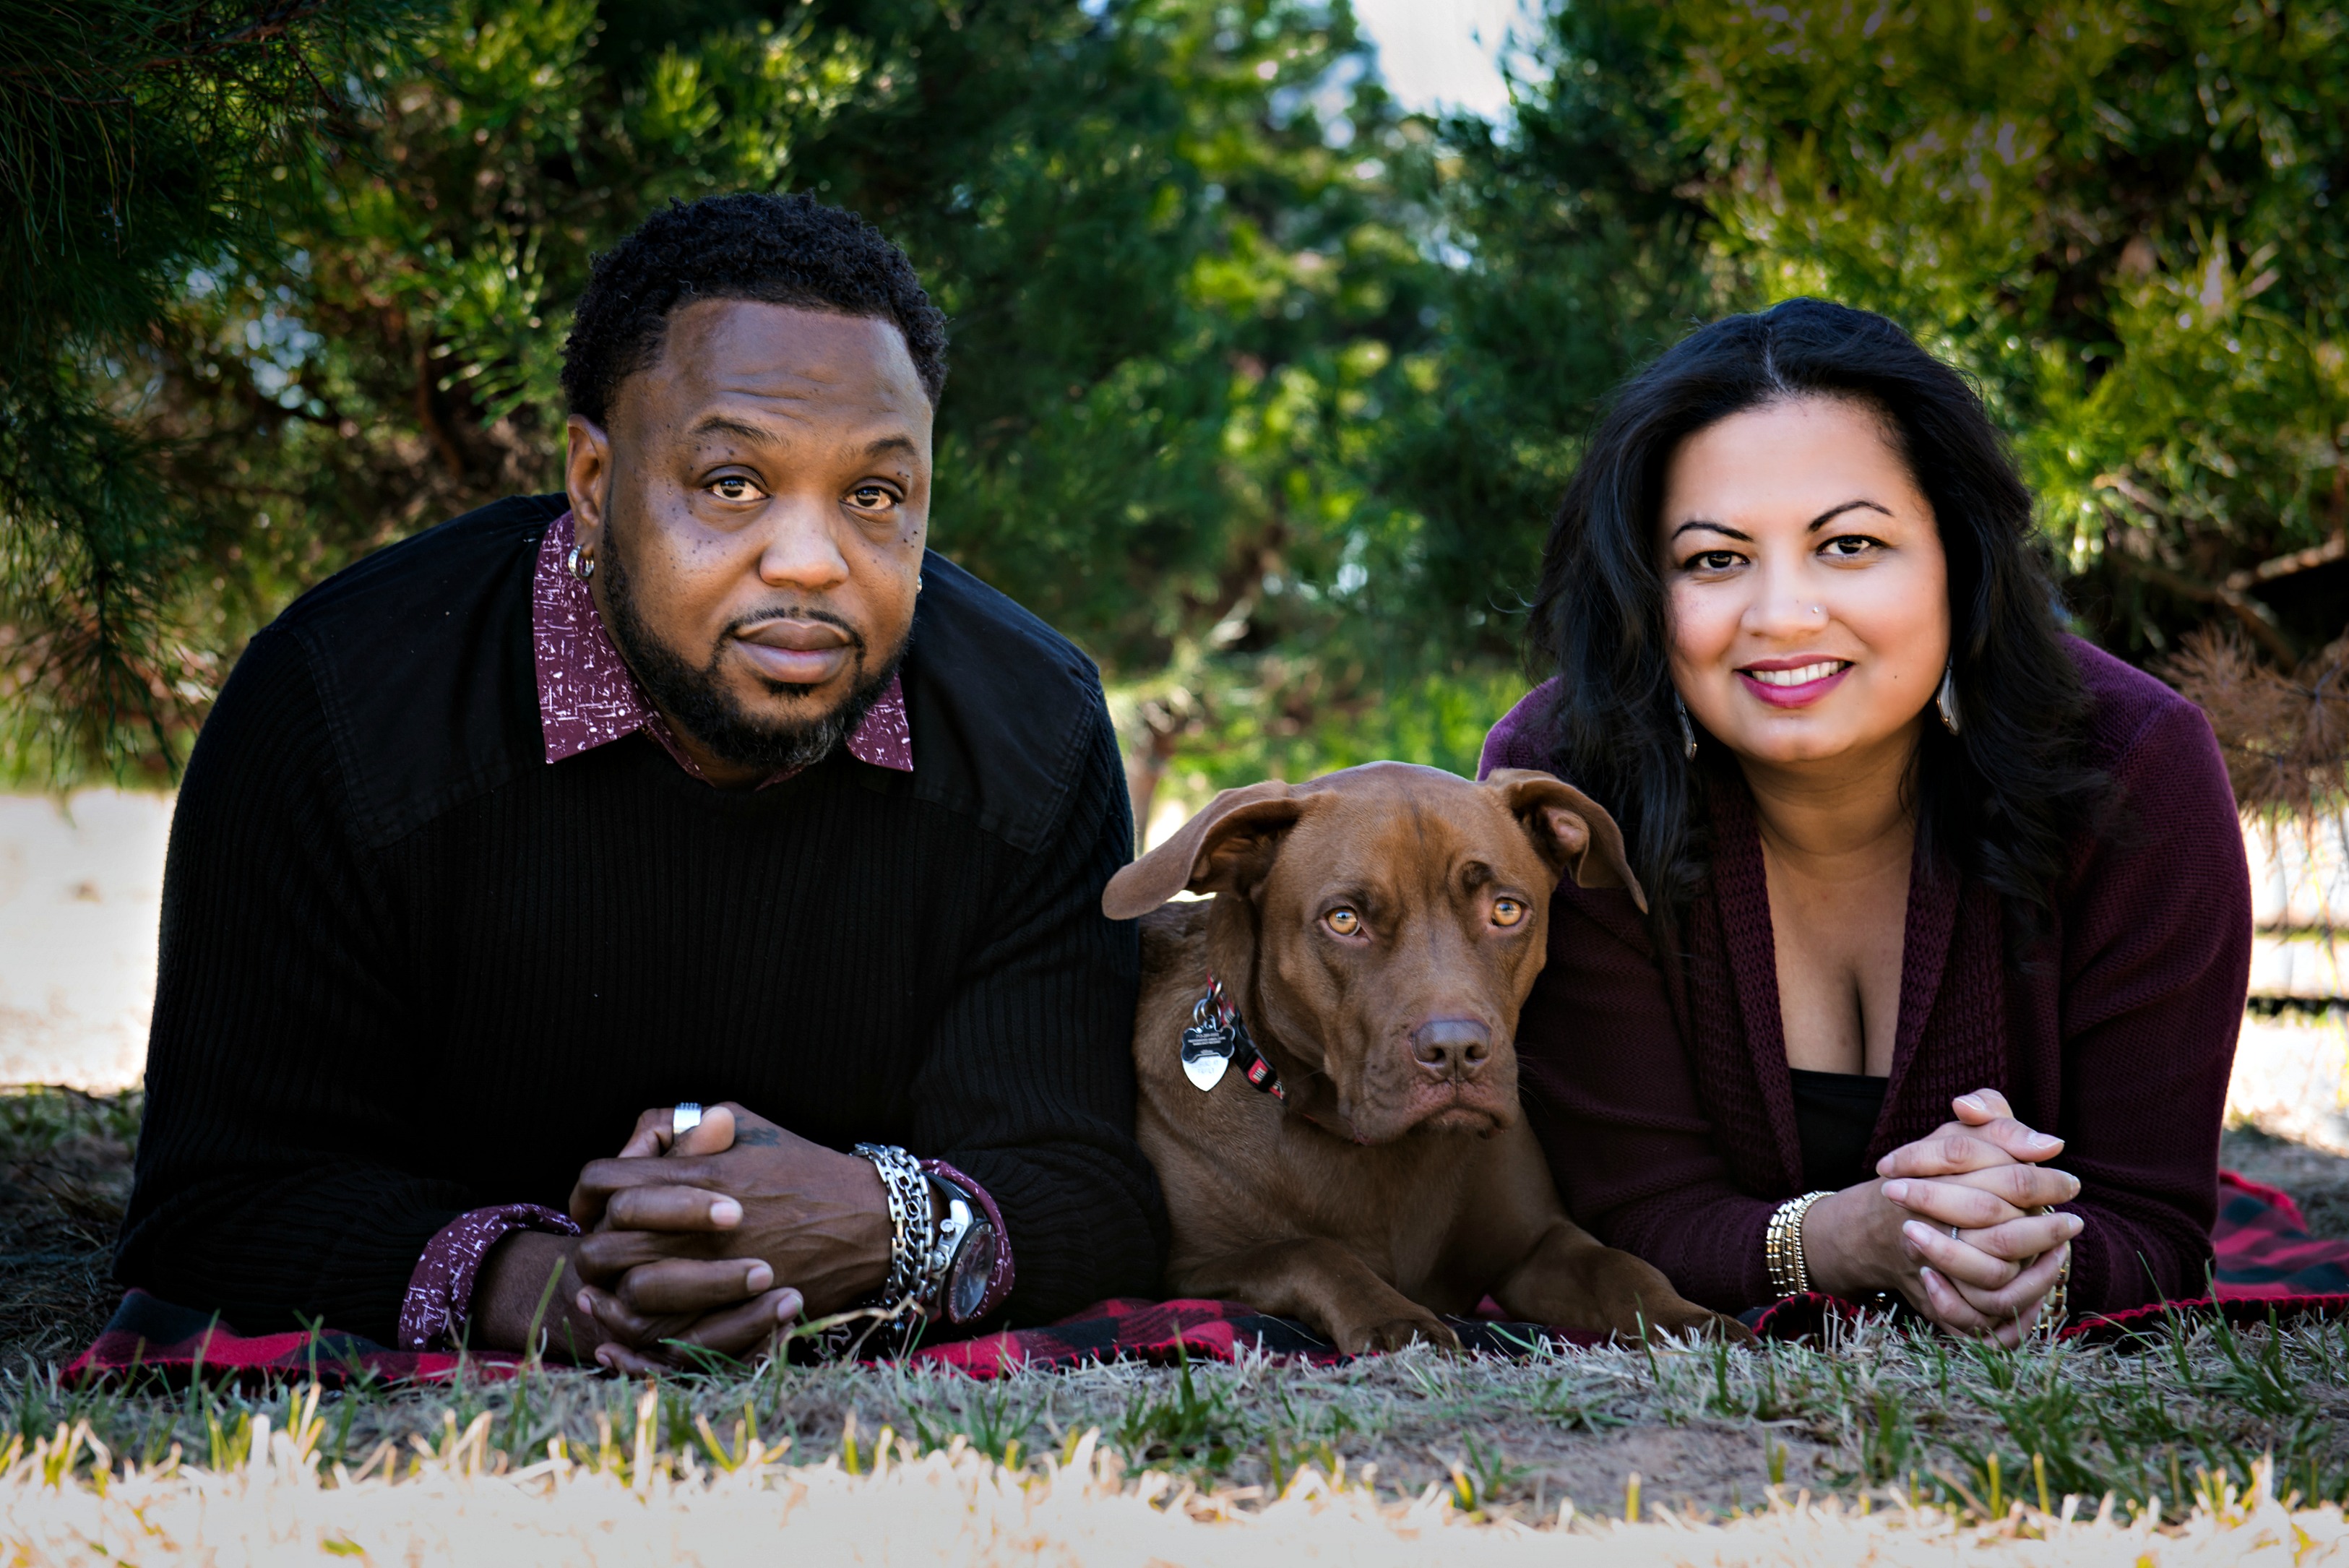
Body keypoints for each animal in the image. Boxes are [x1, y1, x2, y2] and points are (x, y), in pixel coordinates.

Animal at [1108, 766, 1757, 1353]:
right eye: (1343, 919)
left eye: (1505, 910)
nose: (1455, 1052)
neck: (1379, 1153)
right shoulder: (1191, 1271)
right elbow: (1308, 1252)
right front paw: (1394, 1317)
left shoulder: (1535, 1248)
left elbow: (1617, 1265)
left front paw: (1684, 1316)